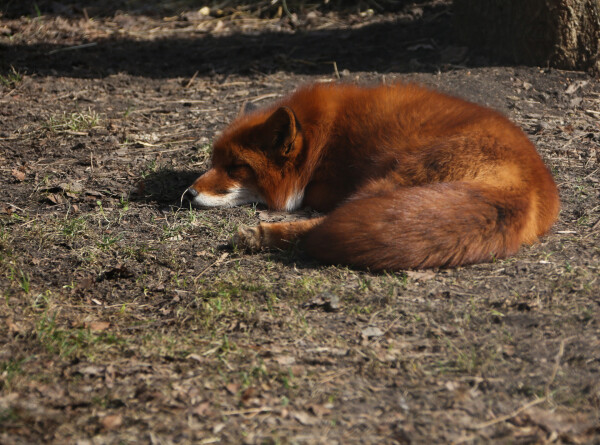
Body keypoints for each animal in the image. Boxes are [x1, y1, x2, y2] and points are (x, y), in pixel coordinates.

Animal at [185, 83, 560, 270]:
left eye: (236, 167)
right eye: (213, 162)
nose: (187, 195)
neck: (323, 136)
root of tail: (527, 186)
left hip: (389, 180)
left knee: (319, 228)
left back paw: (259, 236)